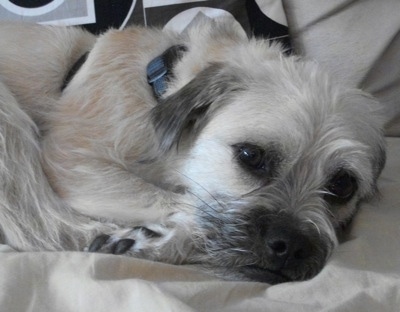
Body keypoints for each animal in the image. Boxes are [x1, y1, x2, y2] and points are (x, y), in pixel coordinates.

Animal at [0, 18, 384, 284]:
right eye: (250, 156)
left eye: (343, 185)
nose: (291, 246)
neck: (158, 88)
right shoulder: (74, 161)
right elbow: (185, 206)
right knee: (40, 223)